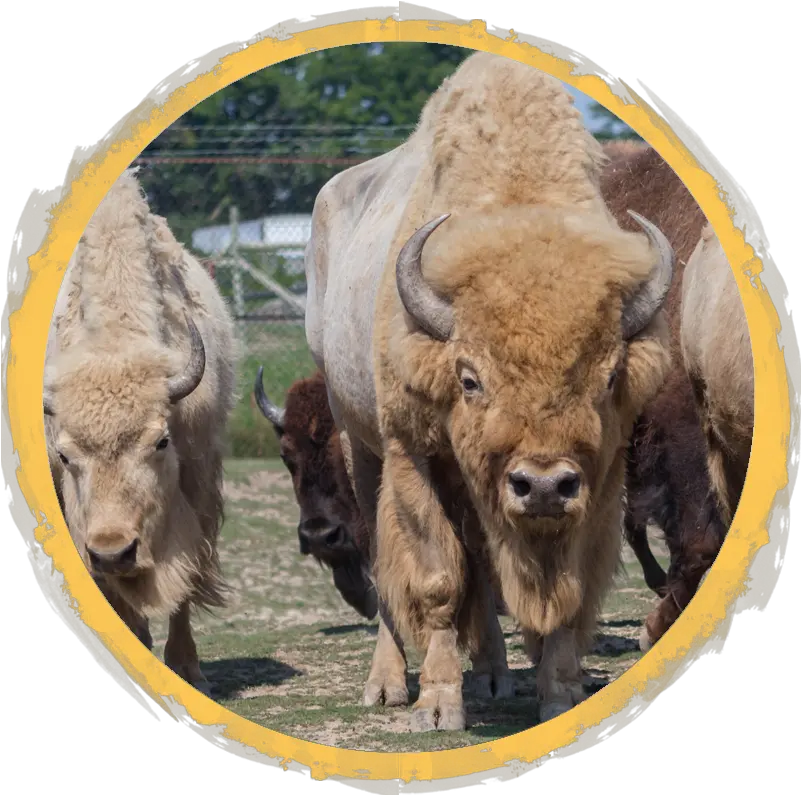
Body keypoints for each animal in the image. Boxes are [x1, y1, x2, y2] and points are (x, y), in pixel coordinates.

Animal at [43, 166, 238, 696]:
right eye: (67, 455)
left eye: (160, 442)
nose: (113, 552)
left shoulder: (196, 485)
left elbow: (185, 577)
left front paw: (188, 669)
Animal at [304, 52, 676, 732]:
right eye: (469, 378)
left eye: (608, 377)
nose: (544, 486)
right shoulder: (414, 453)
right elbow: (435, 578)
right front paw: (437, 705)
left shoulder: (601, 473)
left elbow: (567, 590)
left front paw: (560, 691)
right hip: (357, 439)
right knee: (382, 556)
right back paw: (388, 683)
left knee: (479, 558)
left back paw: (496, 675)